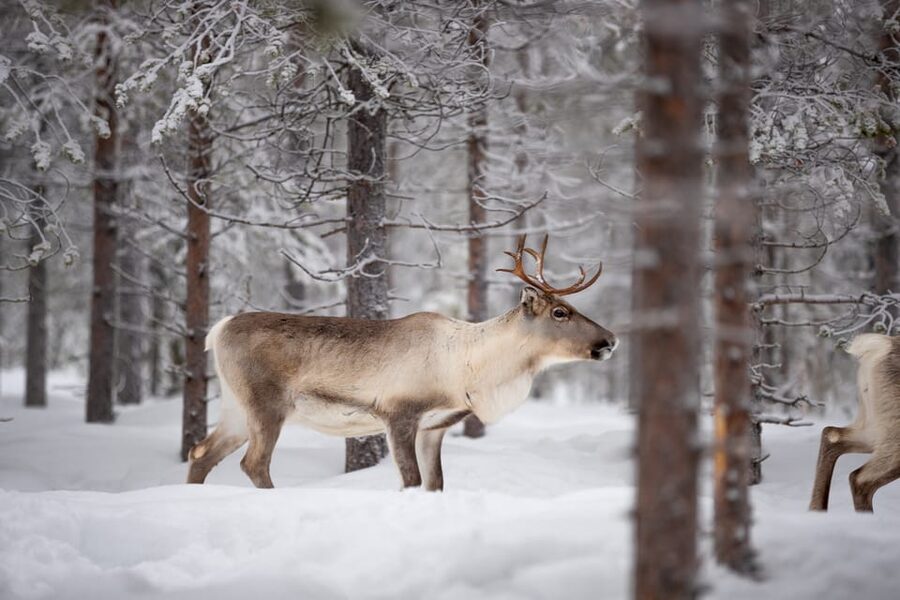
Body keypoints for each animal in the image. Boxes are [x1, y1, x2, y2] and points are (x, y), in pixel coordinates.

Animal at [187, 235, 618, 491]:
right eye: (560, 312)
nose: (611, 341)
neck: (468, 368)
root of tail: (217, 329)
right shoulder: (399, 414)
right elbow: (410, 480)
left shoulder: (435, 426)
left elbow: (435, 482)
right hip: (266, 404)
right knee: (253, 463)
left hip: (235, 407)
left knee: (201, 453)